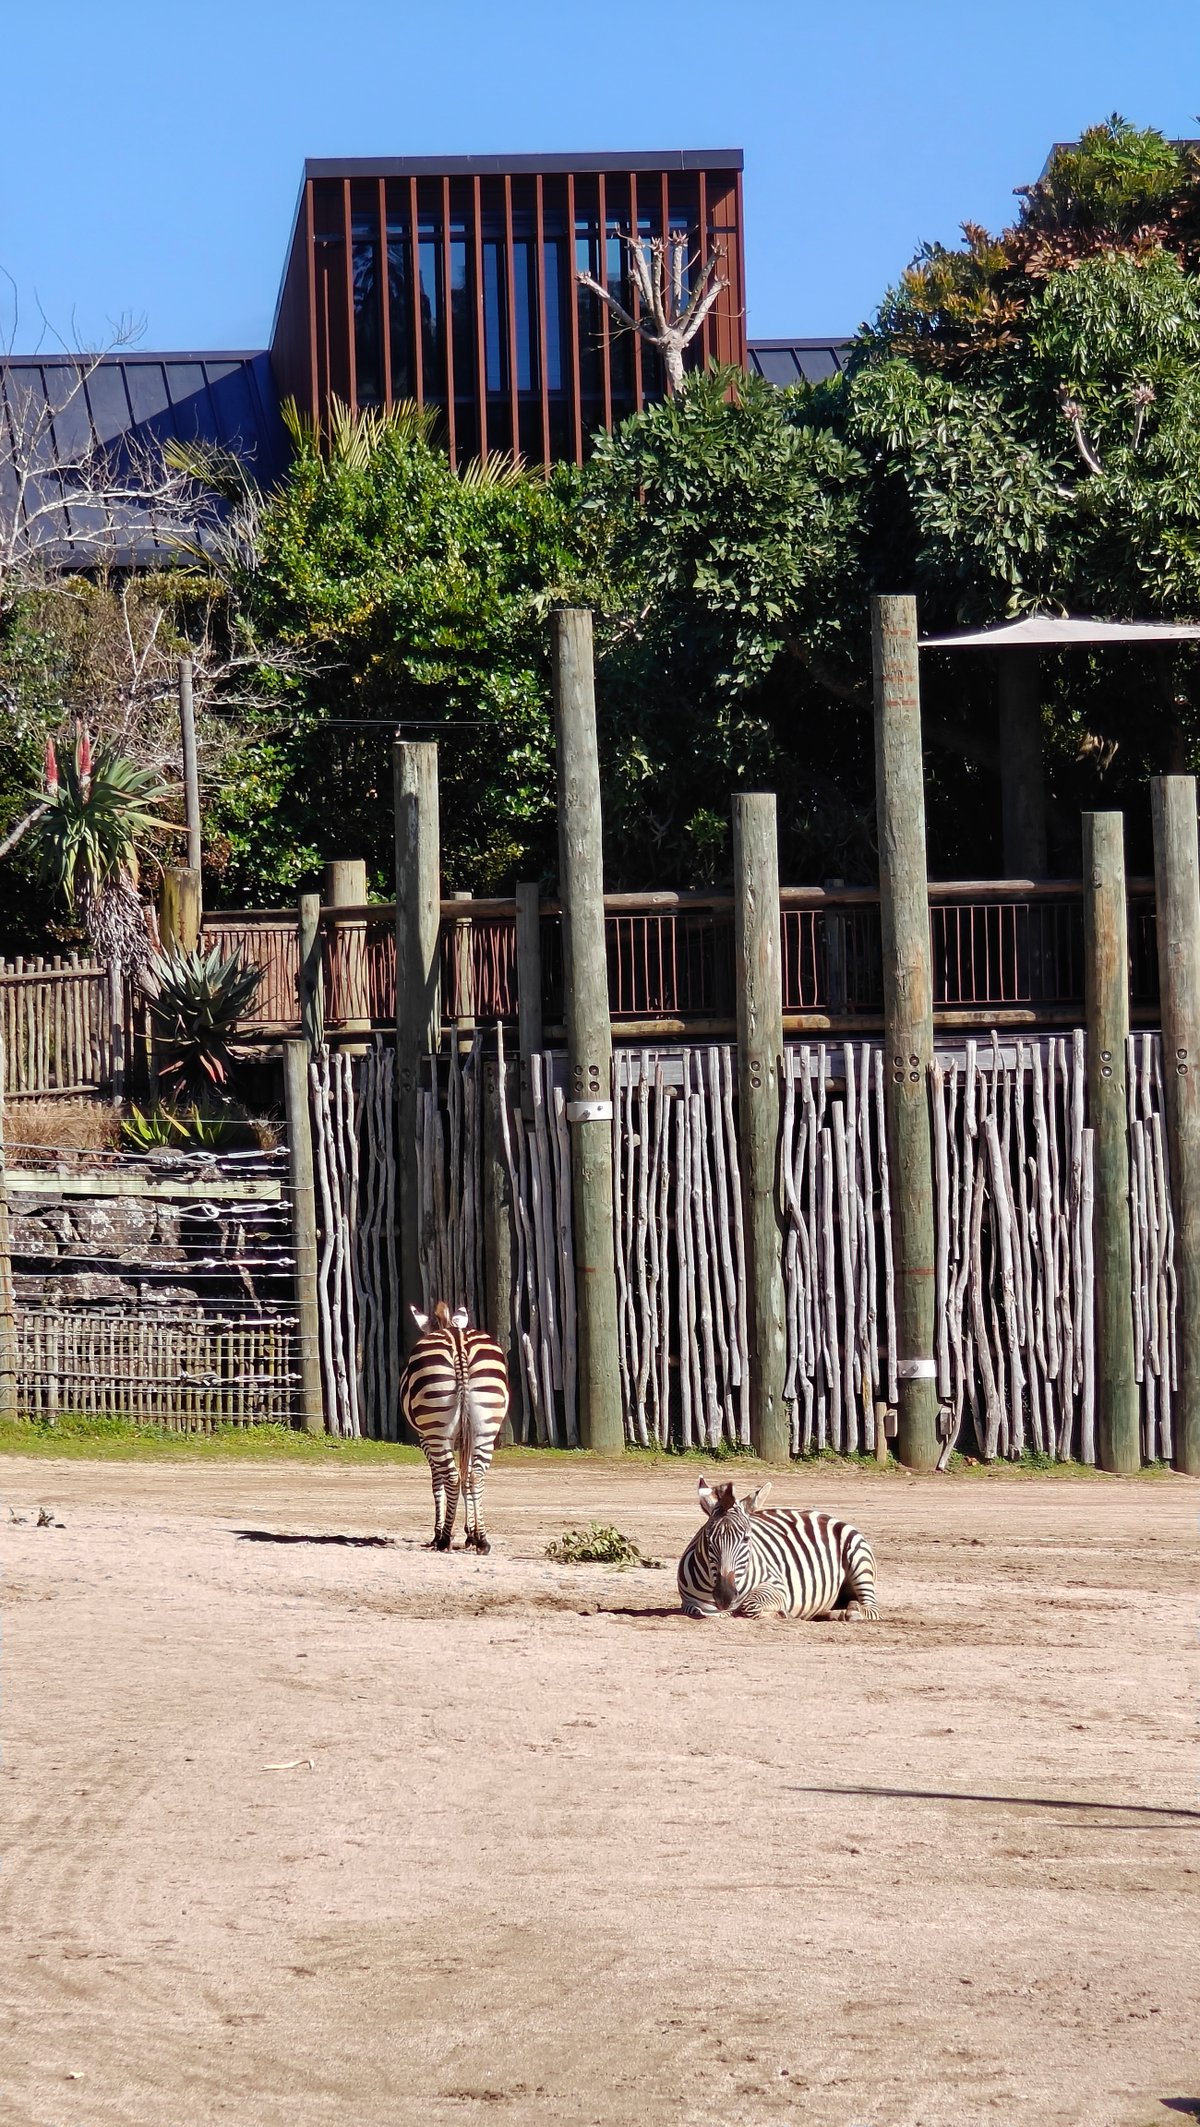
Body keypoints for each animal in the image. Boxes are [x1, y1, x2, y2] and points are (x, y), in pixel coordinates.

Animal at [400, 1302, 510, 1553]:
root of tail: (459, 1343)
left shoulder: (424, 1438)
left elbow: (437, 1483)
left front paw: (439, 1533)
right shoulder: (466, 1436)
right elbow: (466, 1477)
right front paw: (471, 1534)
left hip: (437, 1430)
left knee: (450, 1477)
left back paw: (444, 1539)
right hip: (485, 1427)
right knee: (476, 1475)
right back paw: (483, 1540)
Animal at [677, 1477, 879, 1620]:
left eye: (746, 1539)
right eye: (708, 1540)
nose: (725, 1596)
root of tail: (823, 1514)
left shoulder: (777, 1586)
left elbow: (749, 1605)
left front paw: (781, 1613)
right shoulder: (689, 1603)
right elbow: (698, 1610)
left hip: (859, 1560)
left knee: (872, 1608)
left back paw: (851, 1612)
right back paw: (829, 1613)